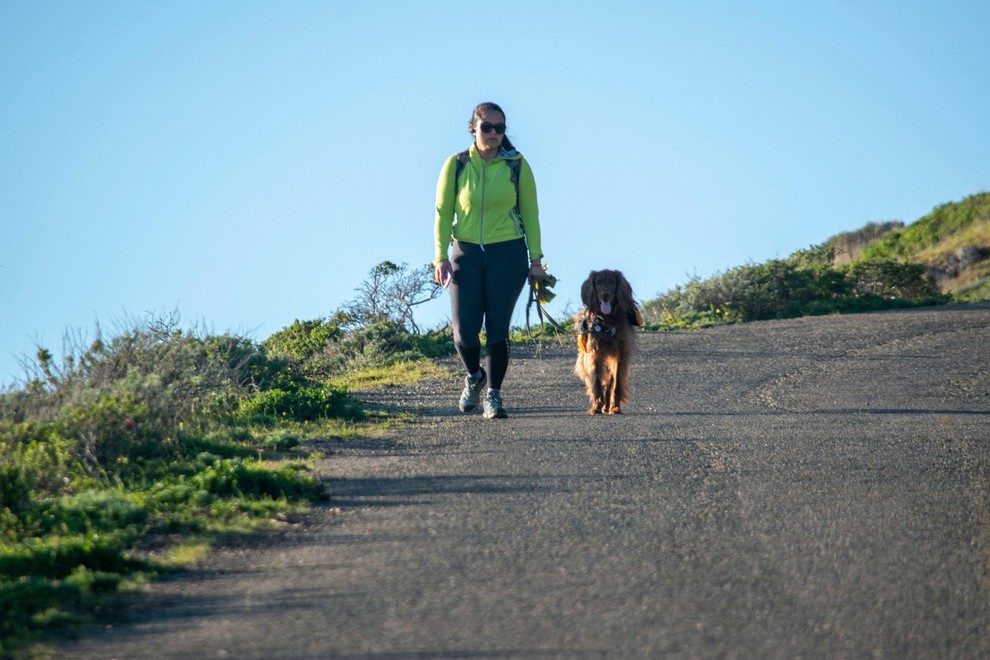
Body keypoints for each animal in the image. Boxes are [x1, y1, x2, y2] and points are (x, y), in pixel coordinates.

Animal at [572, 266, 644, 412]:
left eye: (612, 282)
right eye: (598, 282)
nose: (605, 294)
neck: (607, 321)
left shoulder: (620, 353)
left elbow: (616, 383)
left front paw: (615, 407)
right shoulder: (595, 352)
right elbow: (596, 381)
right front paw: (597, 405)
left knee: (610, 381)